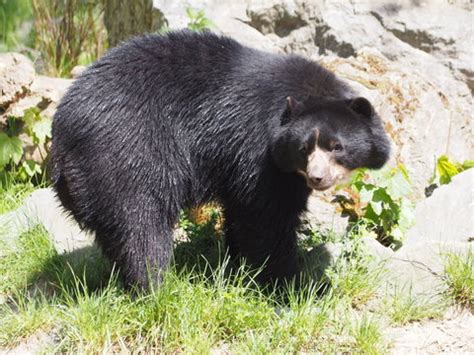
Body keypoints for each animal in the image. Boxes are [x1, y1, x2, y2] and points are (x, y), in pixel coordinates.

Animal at [51, 30, 388, 290]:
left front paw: (240, 267)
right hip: (126, 153)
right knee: (141, 224)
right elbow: (267, 217)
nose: (317, 178)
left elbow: (242, 213)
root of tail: (61, 135)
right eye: (304, 148)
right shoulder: (258, 153)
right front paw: (294, 284)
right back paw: (156, 287)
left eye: (336, 147)